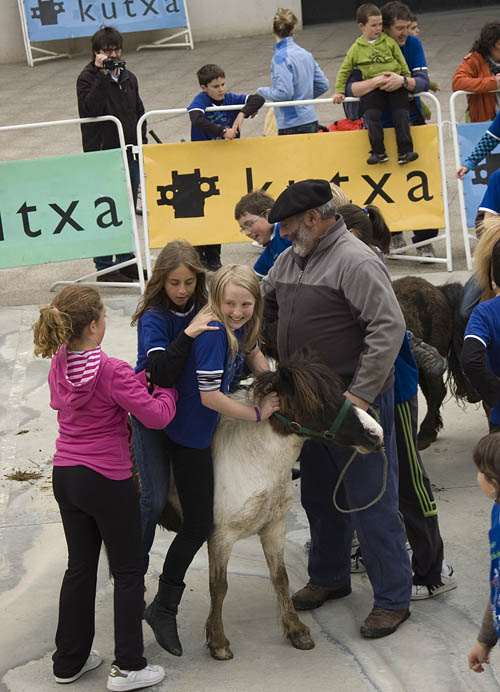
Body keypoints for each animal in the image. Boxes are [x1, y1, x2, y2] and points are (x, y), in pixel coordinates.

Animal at [160, 348, 384, 661]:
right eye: (321, 403)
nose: (376, 434)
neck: (253, 459)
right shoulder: (220, 537)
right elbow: (219, 587)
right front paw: (218, 642)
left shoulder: (274, 528)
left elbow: (281, 578)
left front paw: (296, 630)